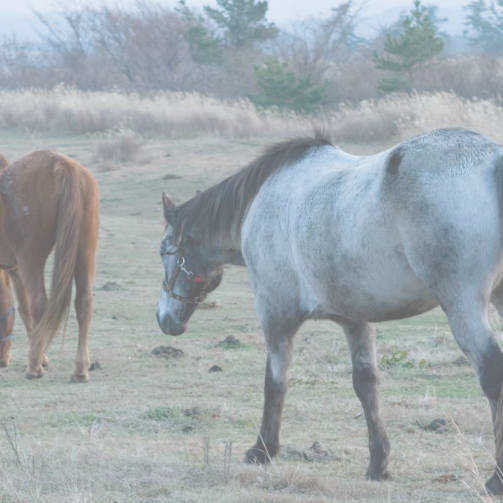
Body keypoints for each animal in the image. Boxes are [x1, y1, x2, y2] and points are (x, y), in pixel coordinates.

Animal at [0, 150, 98, 382]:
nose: (3, 360)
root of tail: (61, 165)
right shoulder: (14, 270)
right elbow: (22, 308)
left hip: (31, 259)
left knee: (40, 304)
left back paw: (34, 367)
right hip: (84, 252)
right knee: (84, 302)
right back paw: (80, 369)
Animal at [158, 128, 503, 494]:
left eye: (164, 251)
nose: (164, 320)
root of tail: (492, 160)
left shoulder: (275, 314)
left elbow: (274, 381)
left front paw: (263, 449)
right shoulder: (355, 320)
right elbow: (366, 384)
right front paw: (378, 463)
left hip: (463, 307)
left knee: (492, 375)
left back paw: (496, 478)